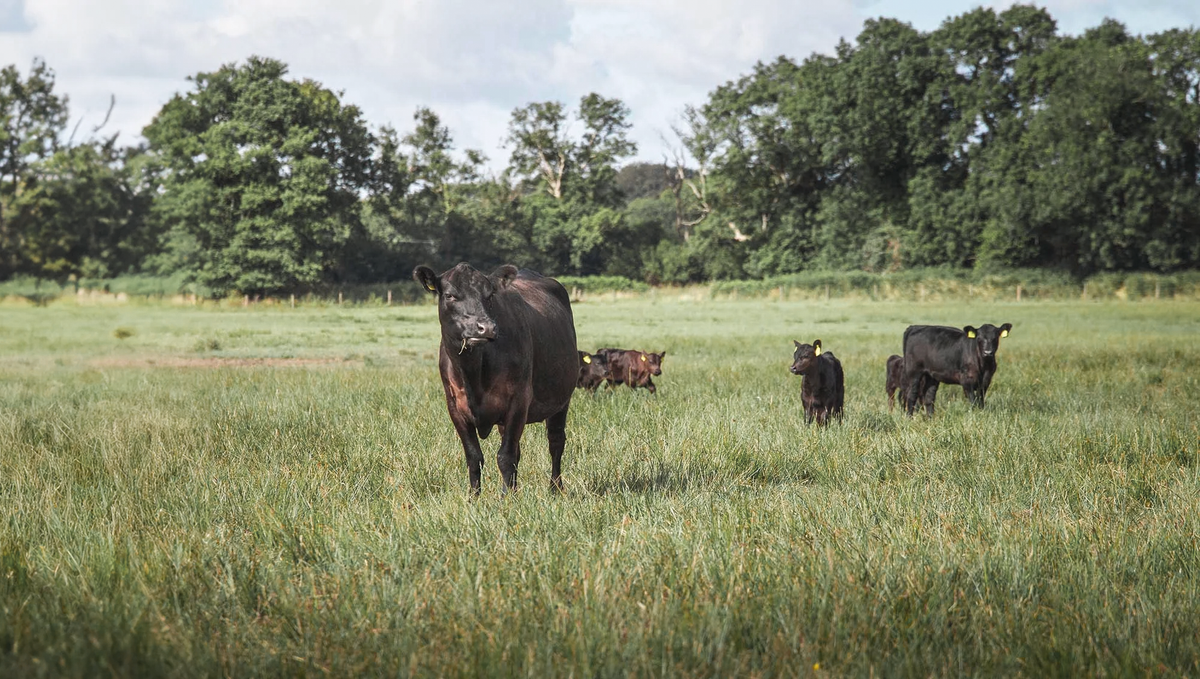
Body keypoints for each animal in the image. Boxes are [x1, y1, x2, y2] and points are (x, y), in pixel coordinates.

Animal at [413, 262, 578, 494]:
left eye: (489, 295)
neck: (474, 374)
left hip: (562, 400)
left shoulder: (518, 400)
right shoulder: (454, 406)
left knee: (555, 442)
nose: (485, 328)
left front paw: (506, 498)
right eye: (450, 295)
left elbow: (505, 457)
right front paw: (474, 497)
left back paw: (555, 488)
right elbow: (474, 457)